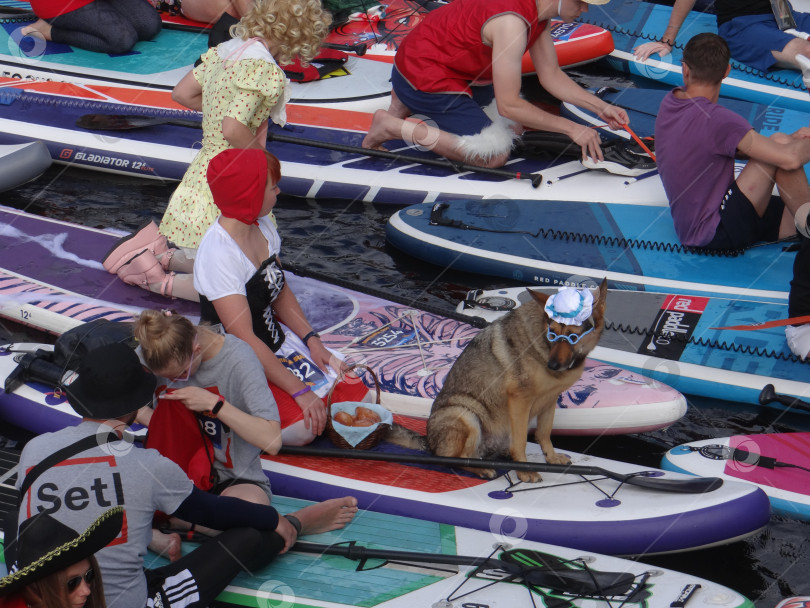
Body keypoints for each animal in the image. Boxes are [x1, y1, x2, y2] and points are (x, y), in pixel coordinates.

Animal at [386, 278, 608, 482]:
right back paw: (481, 469)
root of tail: (429, 442)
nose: (552, 366)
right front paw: (524, 471)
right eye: (552, 333)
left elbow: (544, 433)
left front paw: (551, 458)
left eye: (573, 337)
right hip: (465, 415)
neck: (542, 341)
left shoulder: (550, 399)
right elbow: (520, 442)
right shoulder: (519, 401)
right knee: (453, 459)